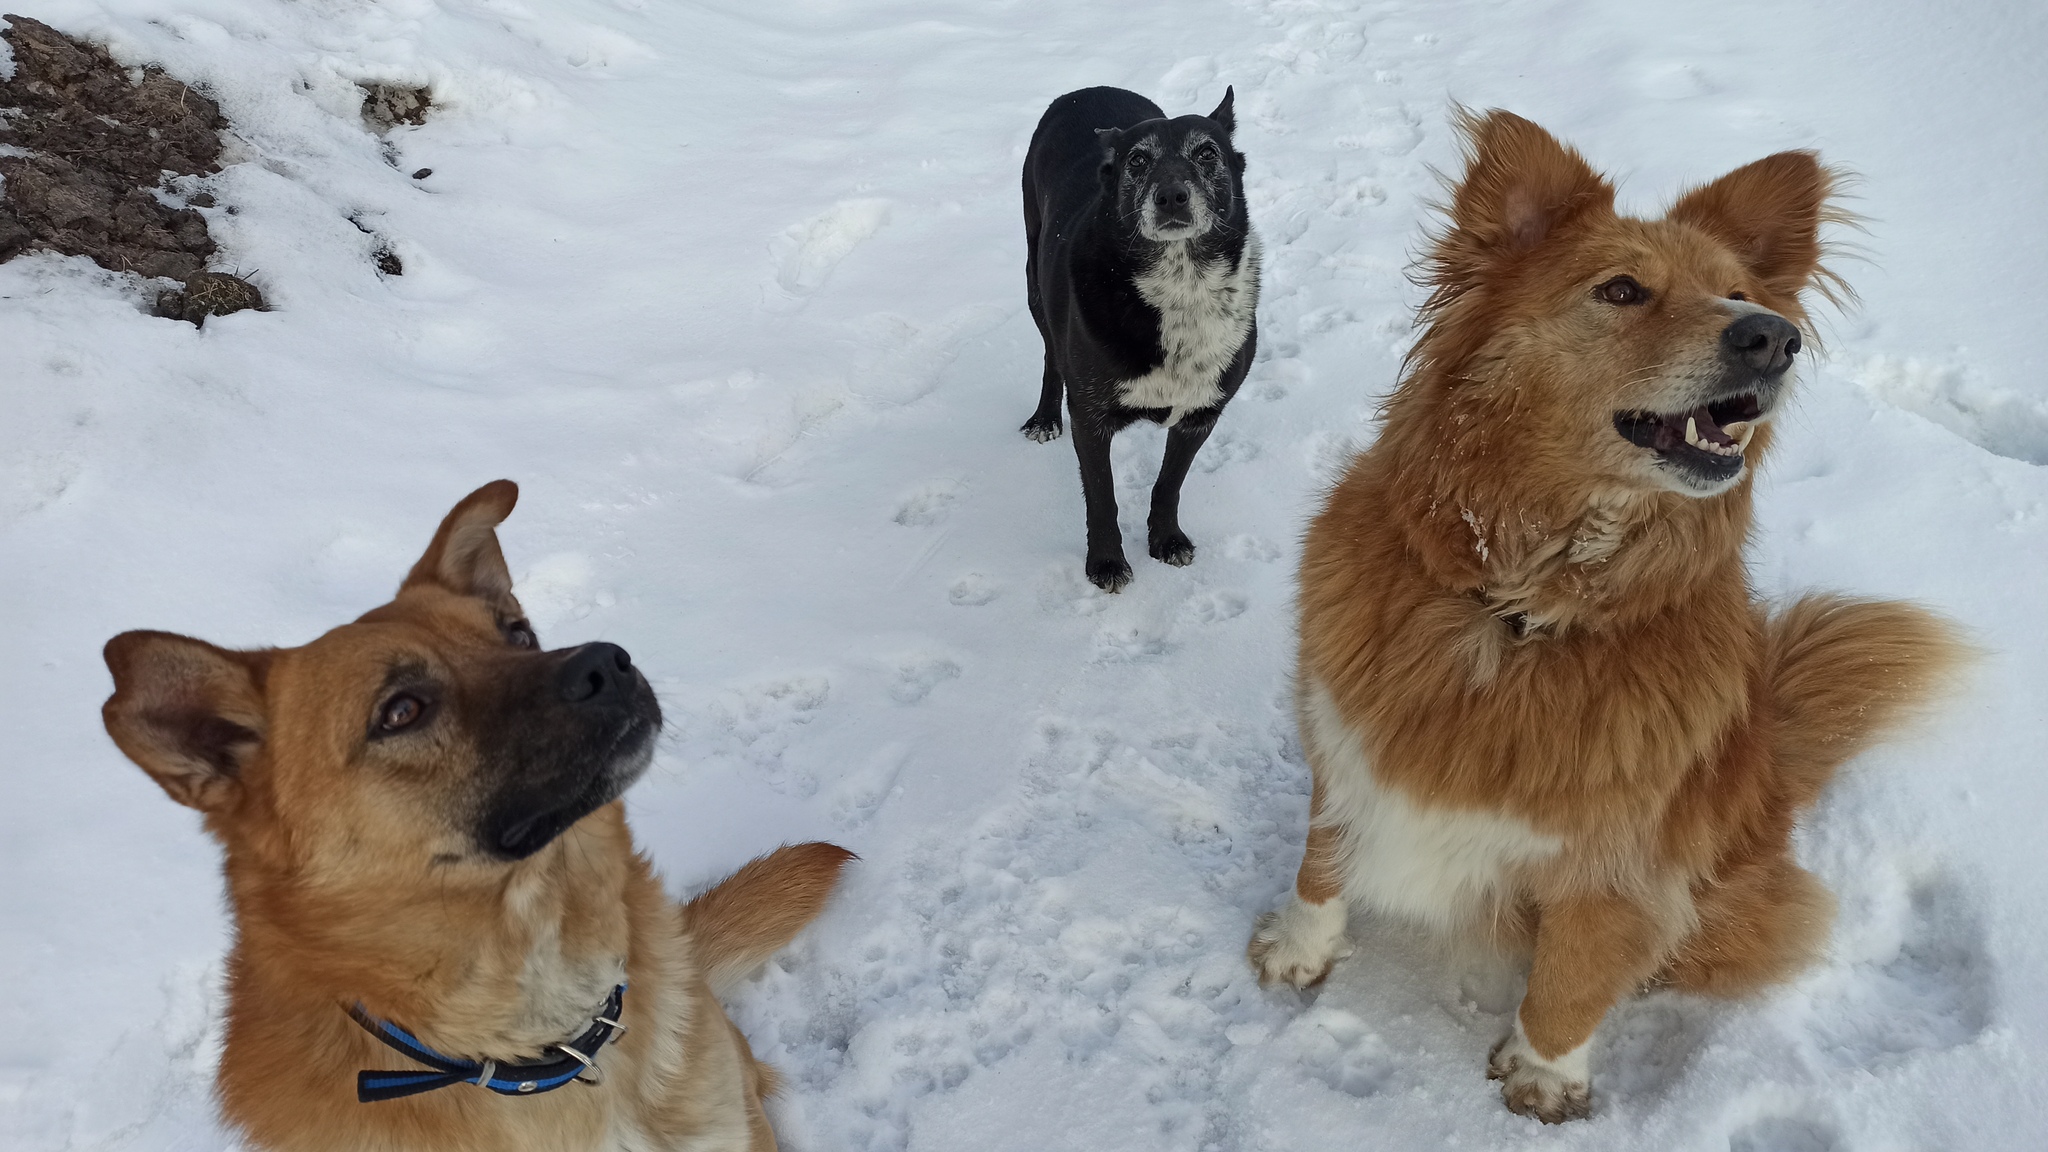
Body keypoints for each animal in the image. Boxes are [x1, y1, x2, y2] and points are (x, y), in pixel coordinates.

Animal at [1015, 87, 1253, 590]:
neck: (1179, 285)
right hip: (1034, 280)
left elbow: (1169, 484)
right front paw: (1105, 562)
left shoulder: (1201, 413)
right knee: (1050, 355)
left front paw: (1166, 540)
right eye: (1138, 161)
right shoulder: (1089, 418)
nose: (1172, 197)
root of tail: (1087, 89)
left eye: (1208, 153)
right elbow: (1102, 496)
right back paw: (1044, 417)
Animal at [1245, 112, 1966, 1115]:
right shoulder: (1344, 743)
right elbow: (1320, 861)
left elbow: (1578, 973)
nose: (1772, 337)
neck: (1518, 607)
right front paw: (1298, 948)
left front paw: (1545, 1074)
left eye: (1739, 294)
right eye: (1621, 290)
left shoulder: (1623, 861)